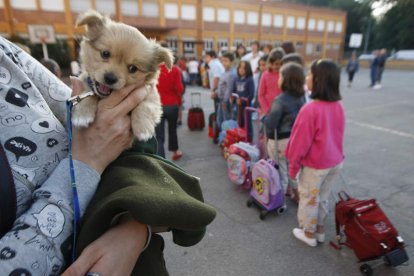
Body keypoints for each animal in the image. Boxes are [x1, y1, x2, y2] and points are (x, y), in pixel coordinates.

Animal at [73, 10, 173, 140]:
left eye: (133, 68)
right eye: (105, 53)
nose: (110, 78)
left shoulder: (151, 94)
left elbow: (145, 105)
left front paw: (143, 128)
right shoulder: (85, 80)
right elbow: (86, 93)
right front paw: (82, 114)